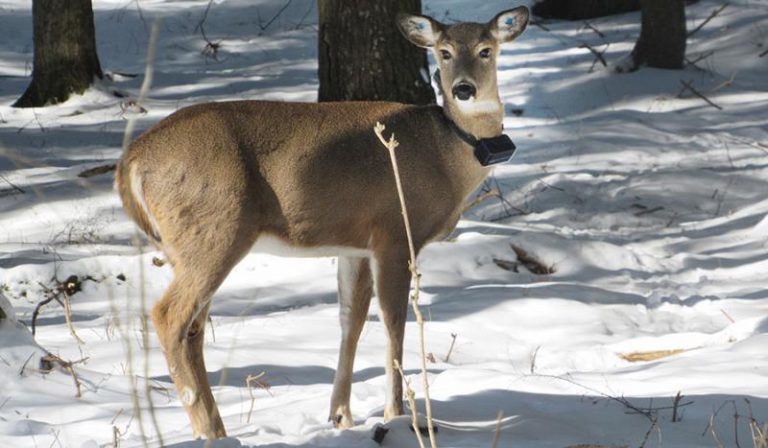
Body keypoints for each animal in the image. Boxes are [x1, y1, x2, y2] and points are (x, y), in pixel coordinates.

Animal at [115, 5, 528, 440]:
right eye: (444, 52)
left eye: (486, 50)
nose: (464, 89)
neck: (445, 154)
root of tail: (130, 162)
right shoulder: (395, 232)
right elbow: (393, 321)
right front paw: (395, 414)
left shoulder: (356, 244)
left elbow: (351, 318)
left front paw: (341, 415)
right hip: (213, 229)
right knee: (168, 316)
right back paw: (209, 430)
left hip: (191, 243)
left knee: (192, 329)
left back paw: (216, 428)